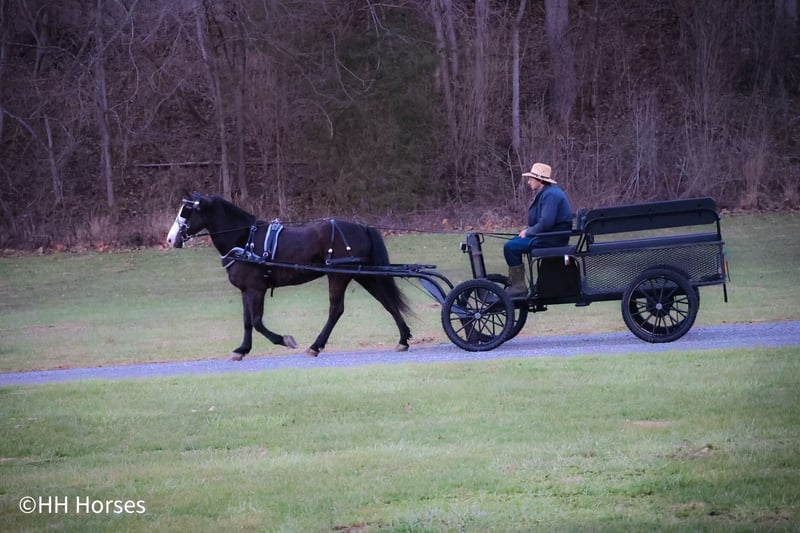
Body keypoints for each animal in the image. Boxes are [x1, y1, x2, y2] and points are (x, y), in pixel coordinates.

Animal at [166, 193, 412, 359]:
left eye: (186, 211)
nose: (169, 239)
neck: (244, 240)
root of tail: (362, 227)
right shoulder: (246, 290)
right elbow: (247, 322)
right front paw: (242, 349)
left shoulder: (256, 289)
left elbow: (257, 322)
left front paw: (285, 340)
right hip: (363, 274)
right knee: (387, 302)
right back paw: (403, 338)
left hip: (339, 276)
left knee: (336, 310)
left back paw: (315, 346)